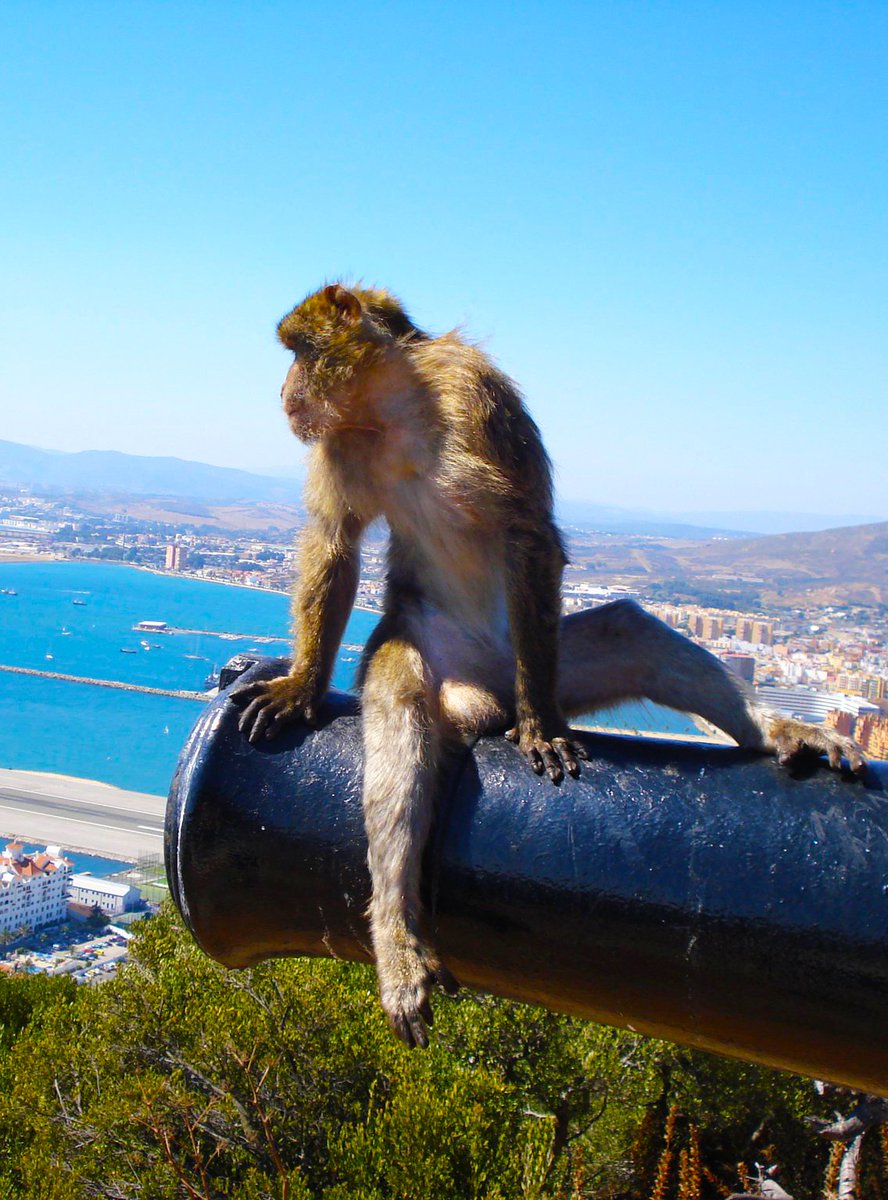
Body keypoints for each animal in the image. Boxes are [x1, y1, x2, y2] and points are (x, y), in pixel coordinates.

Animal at [232, 283, 864, 1051]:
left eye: (298, 352)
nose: (282, 391)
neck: (395, 404)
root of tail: (484, 695)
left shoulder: (476, 395)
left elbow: (526, 531)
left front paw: (539, 726)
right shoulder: (340, 444)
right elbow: (334, 543)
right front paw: (302, 687)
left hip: (543, 654)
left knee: (632, 632)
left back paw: (774, 732)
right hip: (428, 650)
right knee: (402, 713)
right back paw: (399, 941)